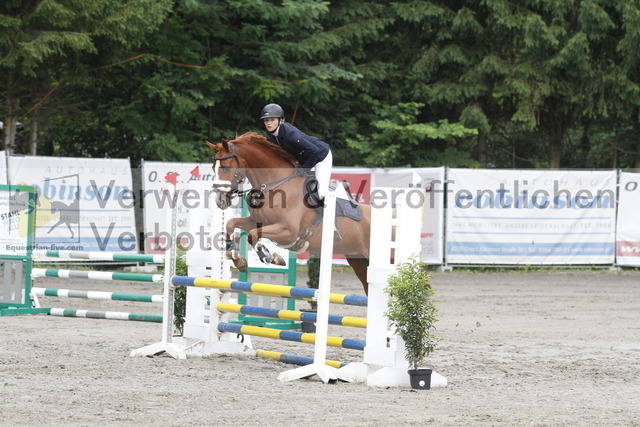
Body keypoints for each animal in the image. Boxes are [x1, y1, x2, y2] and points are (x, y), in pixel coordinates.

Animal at [207, 131, 371, 295]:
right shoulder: (258, 222)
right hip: (358, 260)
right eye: (213, 168)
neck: (276, 186)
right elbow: (231, 224)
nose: (220, 201)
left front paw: (269, 256)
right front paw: (238, 260)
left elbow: (253, 235)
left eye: (227, 167)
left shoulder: (288, 231)